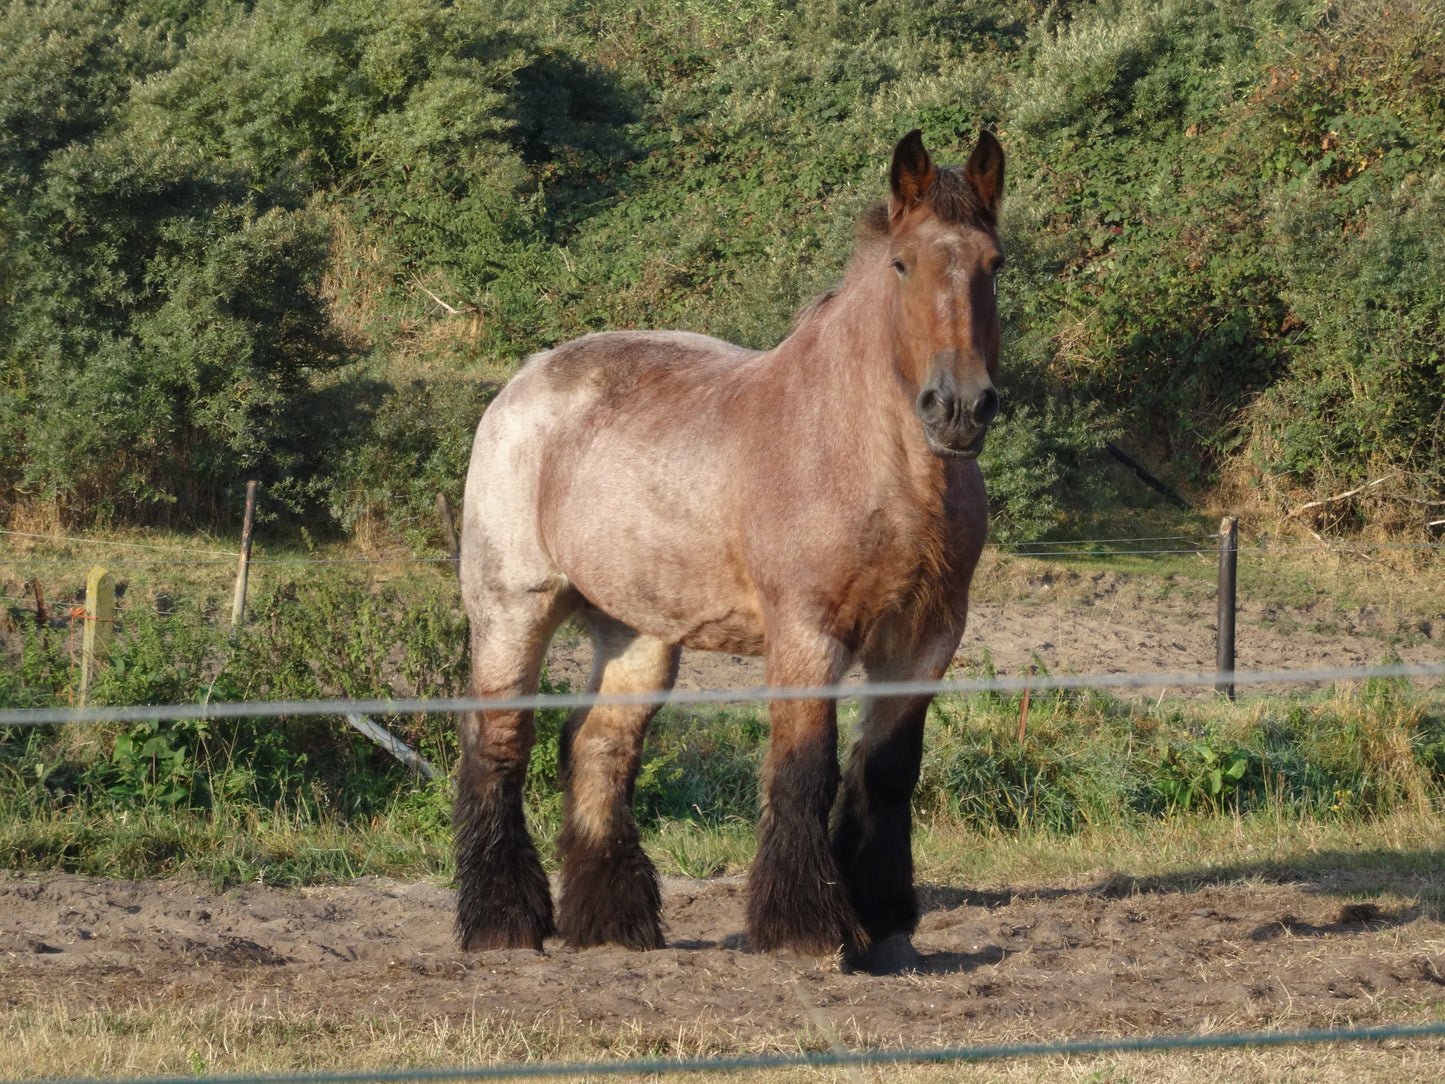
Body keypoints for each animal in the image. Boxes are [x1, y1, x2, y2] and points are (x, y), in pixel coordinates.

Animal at [456, 127, 999, 965]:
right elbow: (802, 769)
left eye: (994, 263)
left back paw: (614, 925)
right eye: (902, 264)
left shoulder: (925, 637)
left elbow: (884, 771)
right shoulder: (807, 632)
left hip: (639, 634)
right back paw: (502, 922)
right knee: (500, 743)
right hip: (512, 607)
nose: (960, 408)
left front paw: (881, 918)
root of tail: (522, 381)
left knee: (598, 747)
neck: (879, 462)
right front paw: (807, 926)